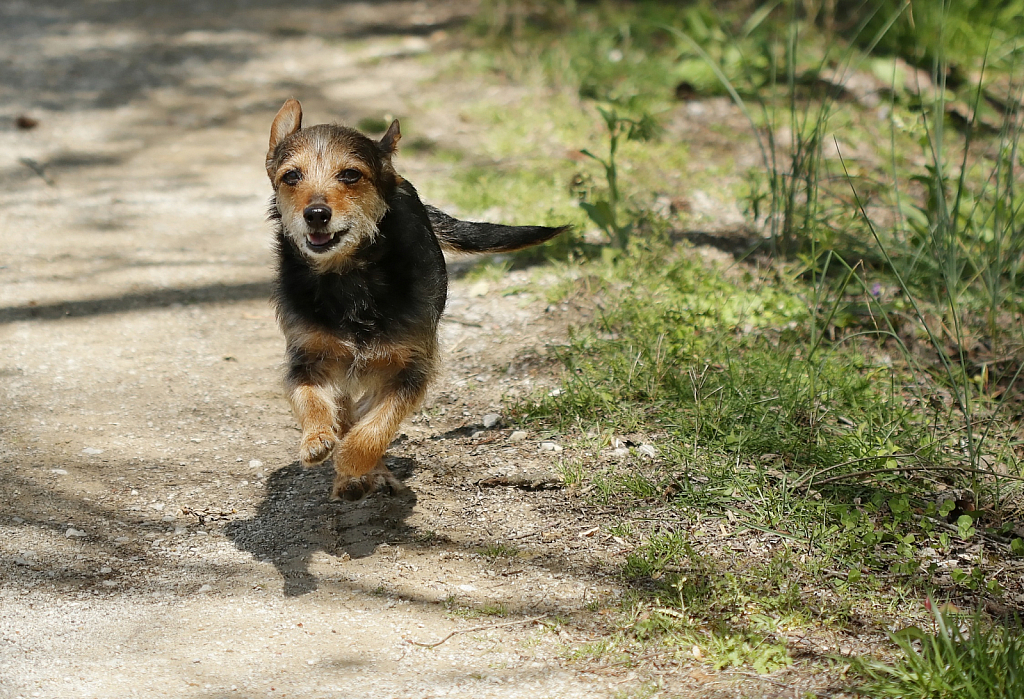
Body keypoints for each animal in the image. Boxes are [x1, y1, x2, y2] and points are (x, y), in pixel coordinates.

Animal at [264, 99, 569, 503]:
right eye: (291, 176)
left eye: (350, 175)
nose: (315, 214)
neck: (349, 280)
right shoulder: (307, 358)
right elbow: (311, 400)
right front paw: (317, 441)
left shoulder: (409, 366)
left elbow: (378, 425)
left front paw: (353, 460)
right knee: (346, 409)